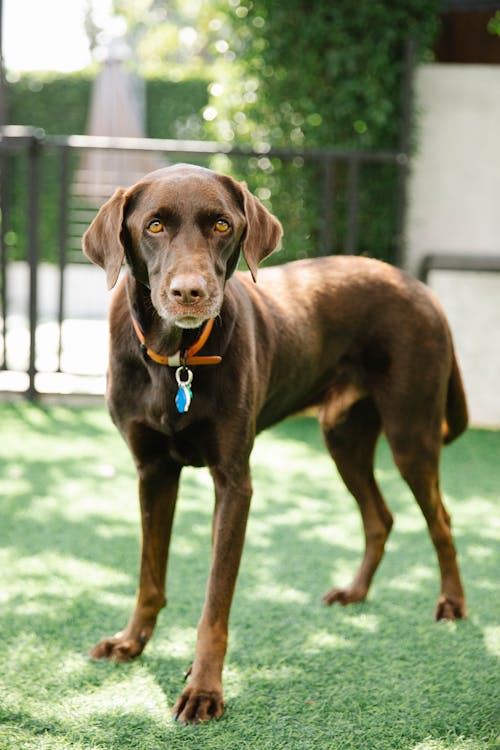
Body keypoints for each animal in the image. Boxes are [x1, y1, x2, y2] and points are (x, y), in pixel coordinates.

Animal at [83, 163, 468, 724]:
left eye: (221, 225)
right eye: (153, 226)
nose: (189, 293)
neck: (176, 359)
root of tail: (417, 286)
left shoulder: (234, 482)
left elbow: (215, 602)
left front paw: (204, 688)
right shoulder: (152, 471)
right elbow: (149, 576)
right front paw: (132, 642)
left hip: (410, 434)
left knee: (440, 519)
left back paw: (453, 604)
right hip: (343, 438)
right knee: (380, 517)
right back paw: (356, 592)